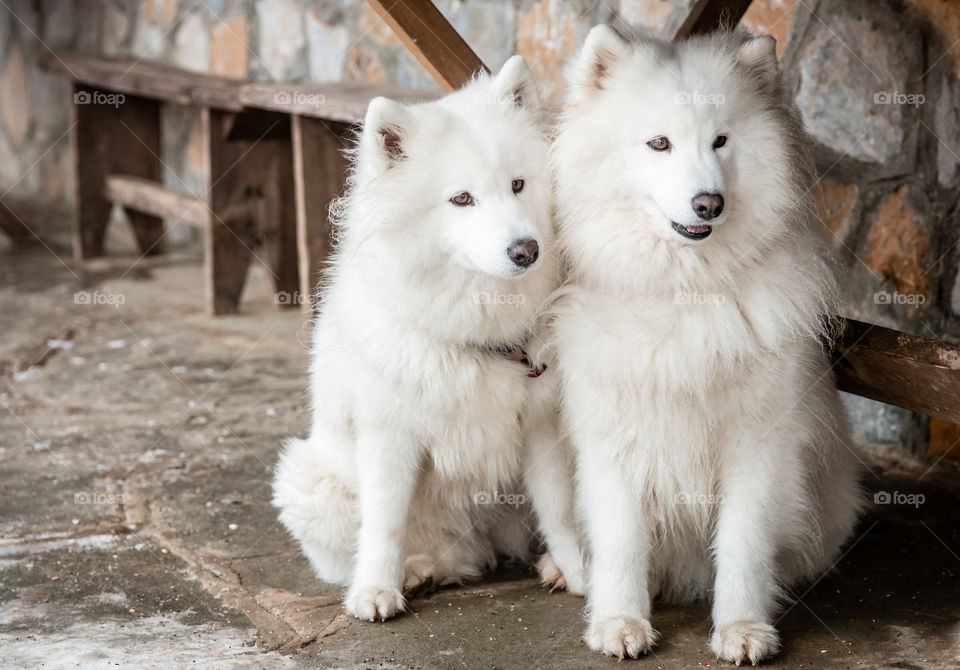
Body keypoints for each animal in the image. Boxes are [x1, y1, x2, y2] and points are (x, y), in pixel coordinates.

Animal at [274, 57, 580, 624]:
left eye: (519, 184)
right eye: (461, 199)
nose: (526, 250)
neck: (478, 327)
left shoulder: (541, 425)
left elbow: (561, 510)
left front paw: (581, 574)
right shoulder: (390, 435)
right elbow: (384, 522)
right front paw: (375, 590)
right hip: (307, 479)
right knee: (421, 551)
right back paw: (418, 572)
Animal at [544, 27, 868, 668]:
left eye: (721, 140)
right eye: (659, 143)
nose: (708, 204)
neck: (684, 290)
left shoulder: (757, 442)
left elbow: (743, 545)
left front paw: (743, 629)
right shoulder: (611, 440)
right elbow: (621, 542)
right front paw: (619, 623)